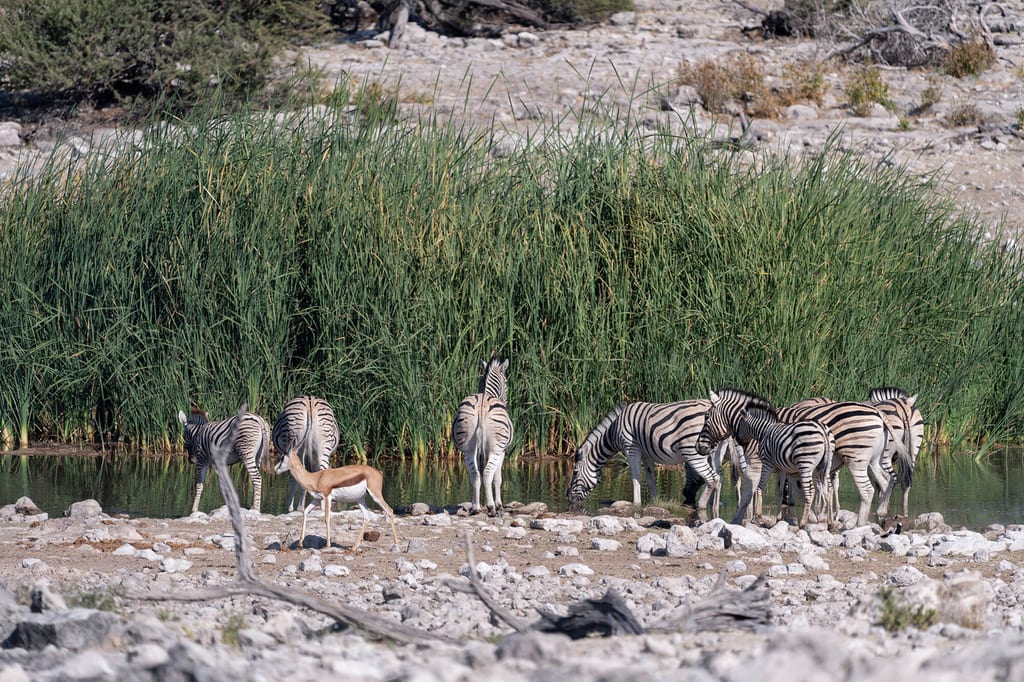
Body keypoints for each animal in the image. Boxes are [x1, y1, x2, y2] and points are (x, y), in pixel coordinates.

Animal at [452, 357, 514, 515]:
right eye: (506, 382)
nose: (507, 405)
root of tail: (482, 405)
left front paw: (479, 503)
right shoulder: (502, 452)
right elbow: (497, 478)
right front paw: (498, 504)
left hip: (468, 448)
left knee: (474, 474)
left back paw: (475, 508)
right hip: (495, 448)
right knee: (486, 473)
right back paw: (491, 507)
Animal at [566, 400, 729, 518]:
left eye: (575, 472)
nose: (567, 498)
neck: (613, 430)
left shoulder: (631, 448)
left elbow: (636, 476)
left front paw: (636, 503)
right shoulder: (647, 454)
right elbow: (650, 478)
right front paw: (655, 502)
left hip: (693, 452)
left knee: (712, 478)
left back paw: (701, 506)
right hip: (716, 452)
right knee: (719, 477)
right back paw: (715, 508)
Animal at [776, 398, 893, 527]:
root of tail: (879, 413)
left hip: (856, 457)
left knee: (867, 490)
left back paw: (859, 524)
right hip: (874, 460)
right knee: (886, 481)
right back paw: (881, 515)